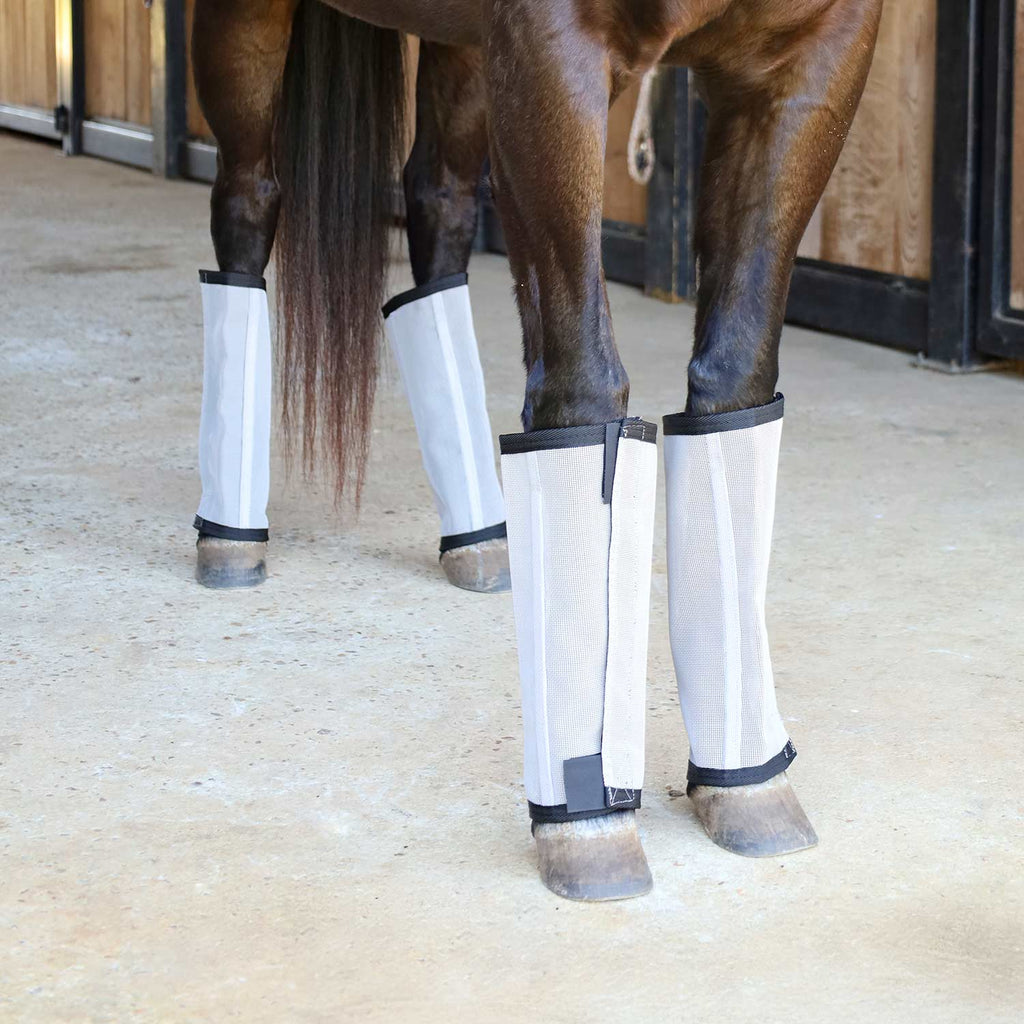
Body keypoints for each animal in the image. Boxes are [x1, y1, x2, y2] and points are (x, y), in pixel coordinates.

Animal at [189, 0, 883, 900]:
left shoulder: (810, 61)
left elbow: (734, 382)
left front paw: (747, 785)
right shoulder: (553, 58)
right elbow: (583, 387)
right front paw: (587, 825)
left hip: (462, 57)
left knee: (437, 210)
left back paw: (481, 537)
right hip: (249, 28)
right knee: (247, 205)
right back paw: (229, 538)